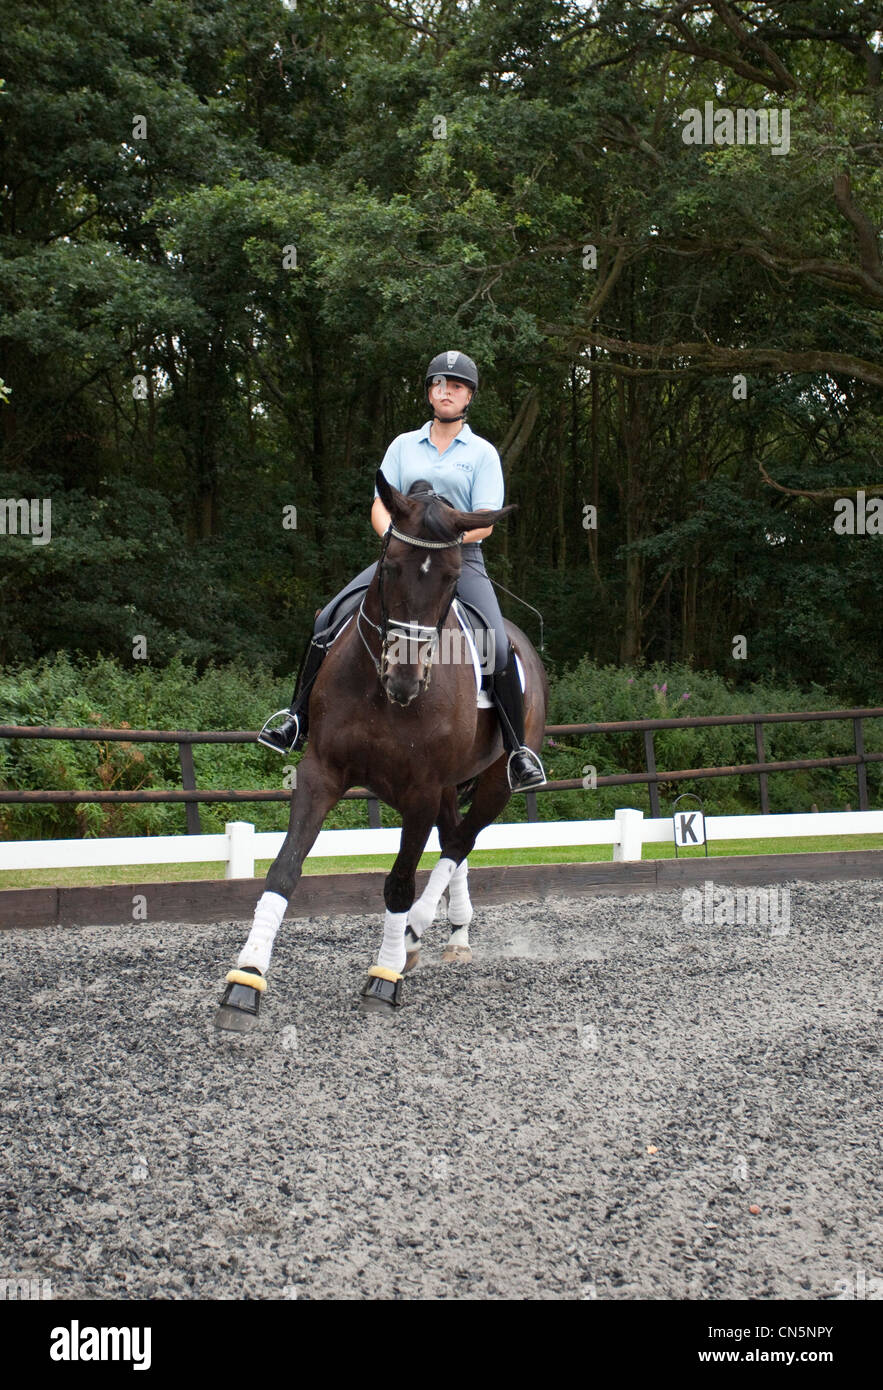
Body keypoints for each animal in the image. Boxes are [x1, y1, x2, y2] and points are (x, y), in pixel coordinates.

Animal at [215, 472, 545, 1028]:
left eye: (452, 579)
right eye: (390, 567)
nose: (405, 681)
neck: (379, 691)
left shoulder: (421, 790)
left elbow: (399, 882)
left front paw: (383, 977)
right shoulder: (321, 772)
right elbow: (285, 868)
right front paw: (246, 979)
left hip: (497, 780)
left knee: (460, 842)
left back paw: (413, 934)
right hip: (451, 787)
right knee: (455, 841)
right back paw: (453, 934)